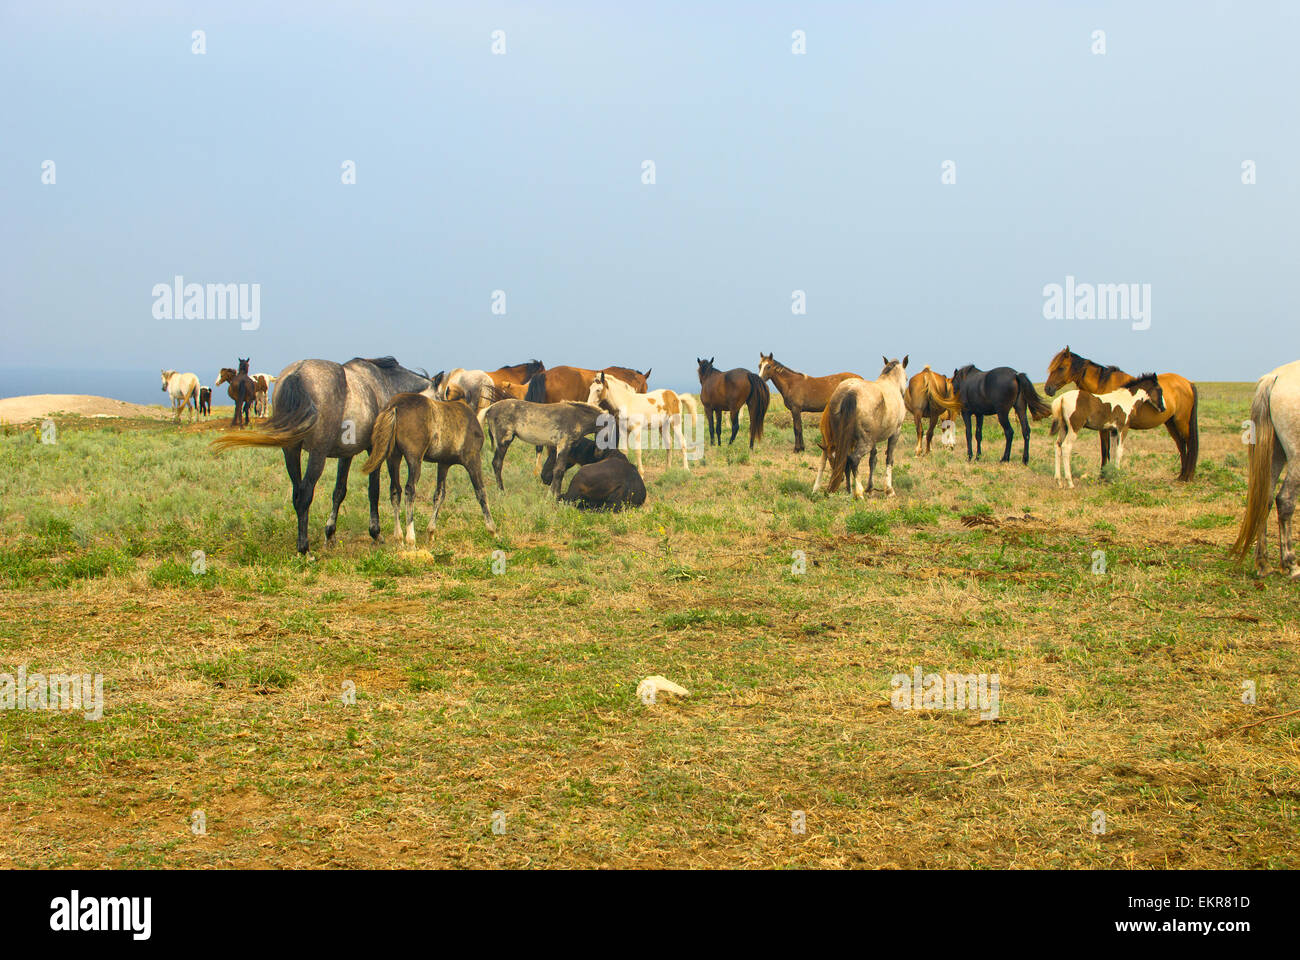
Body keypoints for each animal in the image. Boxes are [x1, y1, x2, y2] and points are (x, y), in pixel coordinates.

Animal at [210, 357, 432, 554]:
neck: (384, 383)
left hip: (291, 451)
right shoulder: (373, 450)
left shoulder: (346, 454)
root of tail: (297, 374)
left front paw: (330, 534)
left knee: (296, 494)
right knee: (305, 494)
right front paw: (376, 533)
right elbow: (373, 491)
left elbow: (339, 492)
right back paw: (305, 549)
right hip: (317, 455)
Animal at [360, 392, 496, 543]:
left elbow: (439, 494)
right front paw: (493, 531)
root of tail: (394, 406)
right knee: (410, 490)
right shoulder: (473, 459)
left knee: (395, 490)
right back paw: (410, 538)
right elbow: (481, 492)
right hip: (414, 458)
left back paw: (399, 537)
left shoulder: (443, 463)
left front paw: (431, 532)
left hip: (393, 457)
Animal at [813, 357, 909, 497]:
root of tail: (851, 392)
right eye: (907, 378)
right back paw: (859, 492)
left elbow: (872, 459)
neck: (890, 383)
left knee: (845, 460)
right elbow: (889, 459)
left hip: (842, 440)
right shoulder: (895, 432)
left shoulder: (874, 439)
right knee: (854, 459)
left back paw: (850, 490)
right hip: (865, 441)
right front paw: (889, 490)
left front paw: (870, 487)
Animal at [1045, 346, 1199, 481]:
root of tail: (1188, 383)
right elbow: (1109, 451)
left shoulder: (1107, 428)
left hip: (1181, 422)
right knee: (1181, 445)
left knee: (1188, 443)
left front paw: (1104, 475)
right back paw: (1181, 476)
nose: (1048, 389)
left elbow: (1106, 450)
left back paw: (1187, 476)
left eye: (1061, 367)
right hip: (1171, 423)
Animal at [1231, 360, 1300, 579]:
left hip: (1275, 453)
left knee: (1266, 499)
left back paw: (1263, 564)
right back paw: (1291, 564)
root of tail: (1275, 377)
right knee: (1285, 500)